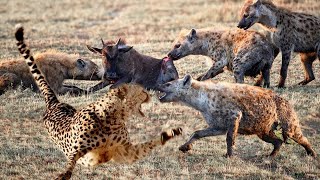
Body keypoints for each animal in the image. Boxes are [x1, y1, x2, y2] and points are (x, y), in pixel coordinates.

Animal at [15, 25, 182, 180]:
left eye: (117, 55)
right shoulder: (106, 80)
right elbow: (88, 89)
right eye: (102, 54)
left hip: (167, 64)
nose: (110, 74)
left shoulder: (126, 79)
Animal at [158, 74, 316, 158]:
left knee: (298, 135)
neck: (202, 99)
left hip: (286, 118)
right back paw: (271, 155)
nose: (158, 85)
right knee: (277, 141)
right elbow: (198, 133)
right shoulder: (218, 125)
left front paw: (228, 155)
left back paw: (311, 153)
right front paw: (184, 147)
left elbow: (230, 137)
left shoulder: (234, 115)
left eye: (168, 84)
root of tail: (286, 101)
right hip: (262, 130)